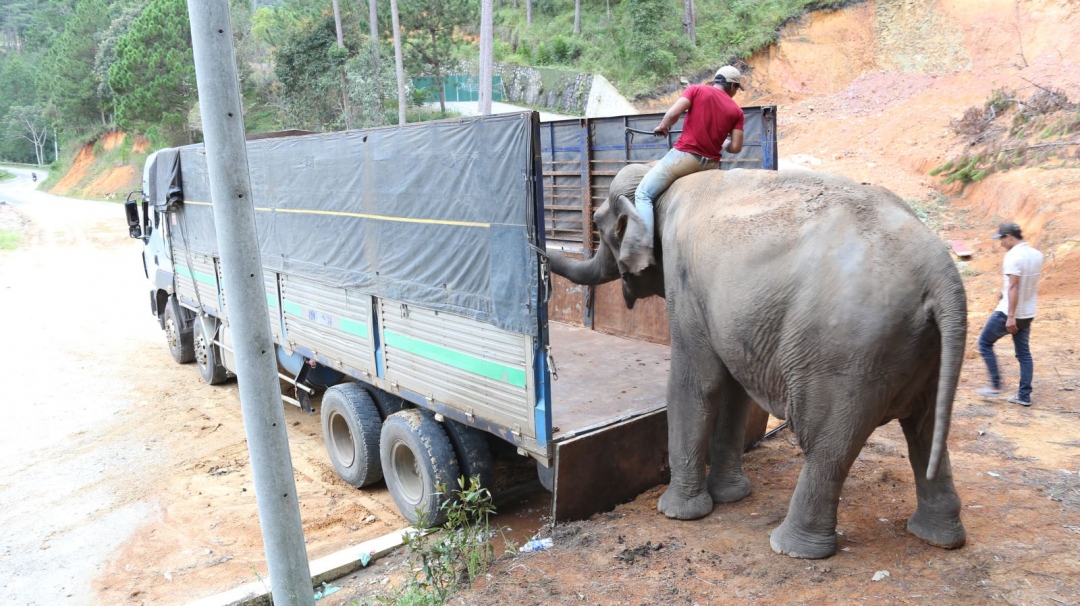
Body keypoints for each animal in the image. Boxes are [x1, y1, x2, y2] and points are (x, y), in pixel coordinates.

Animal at [548, 164, 972, 557]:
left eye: (598, 225)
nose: (540, 254)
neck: (660, 186)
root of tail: (941, 273)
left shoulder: (685, 284)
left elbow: (697, 382)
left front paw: (677, 514)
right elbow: (735, 389)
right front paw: (732, 497)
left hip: (848, 351)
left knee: (828, 441)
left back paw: (792, 548)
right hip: (920, 349)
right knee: (925, 428)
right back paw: (939, 538)